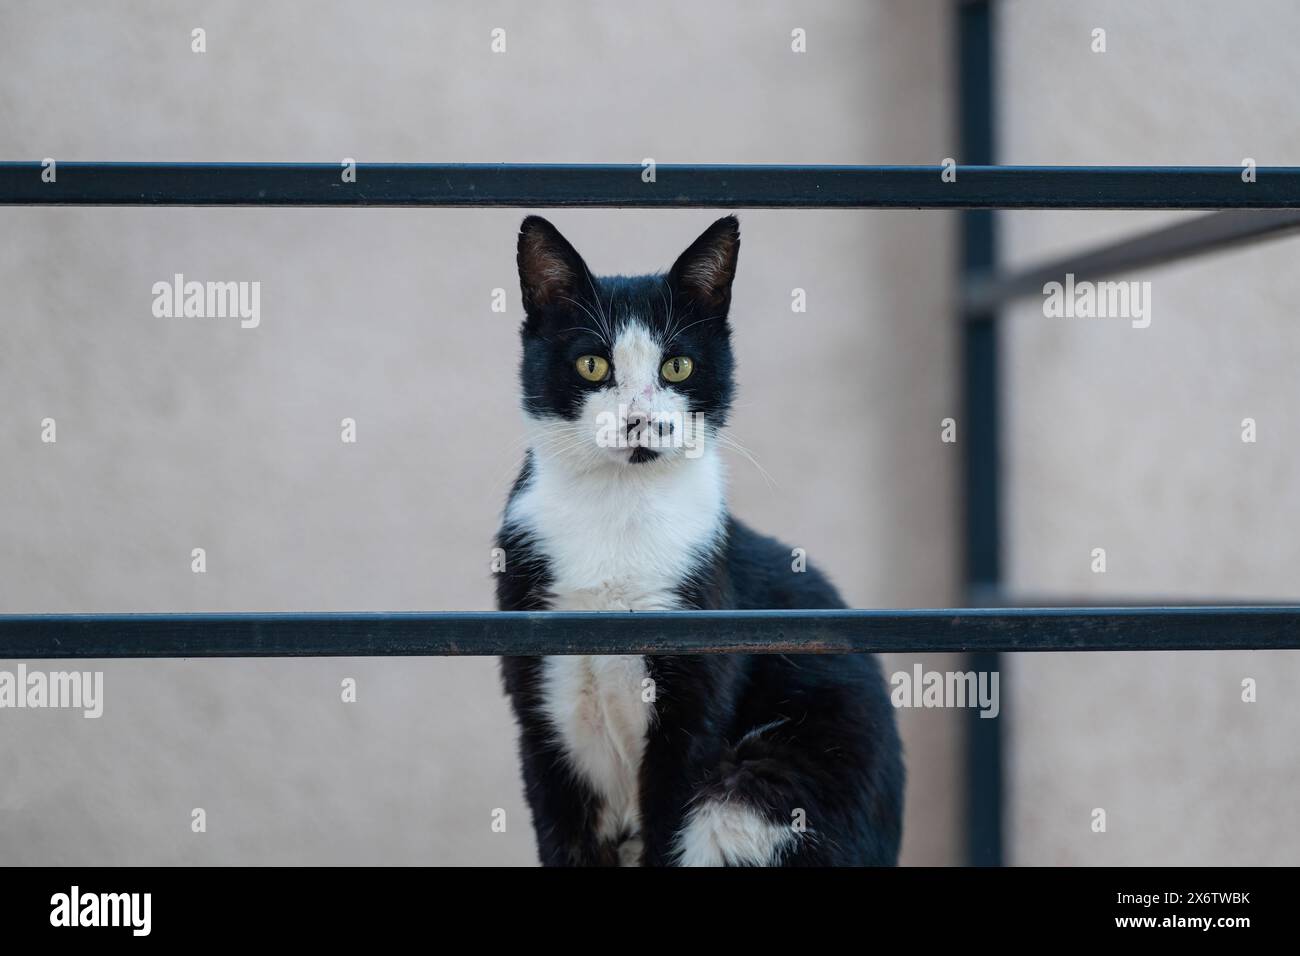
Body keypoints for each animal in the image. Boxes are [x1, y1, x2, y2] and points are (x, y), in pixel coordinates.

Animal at [491, 218, 899, 868]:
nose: (640, 420)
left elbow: (671, 821)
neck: (618, 511)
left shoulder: (695, 704)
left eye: (677, 367)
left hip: (764, 785)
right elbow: (563, 834)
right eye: (591, 365)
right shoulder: (542, 712)